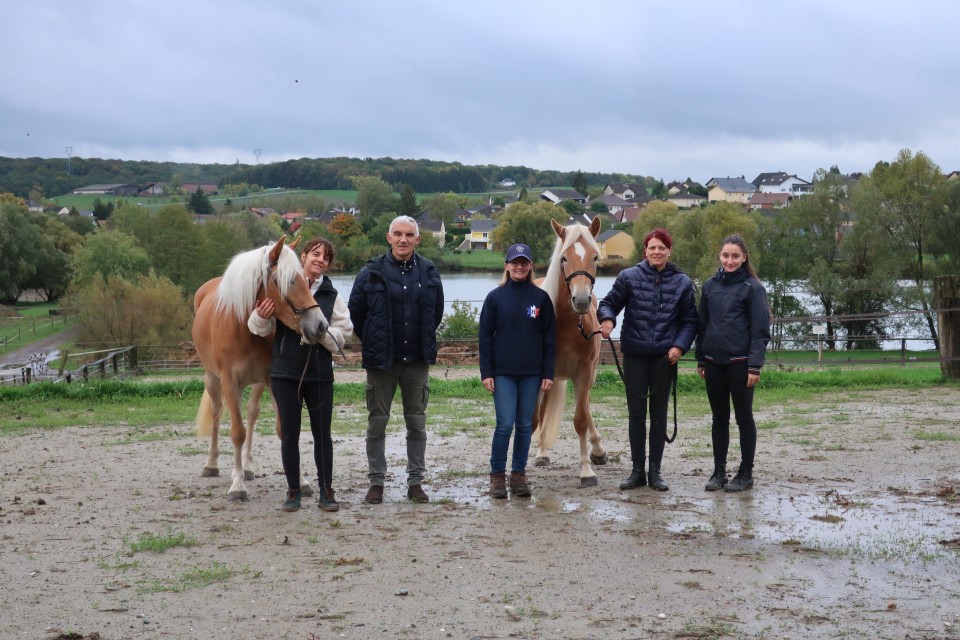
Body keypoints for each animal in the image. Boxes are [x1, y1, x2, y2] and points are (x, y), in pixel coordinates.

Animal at [532, 218, 608, 488]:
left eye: (595, 256)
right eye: (564, 258)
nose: (582, 300)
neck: (564, 323)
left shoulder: (584, 372)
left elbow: (581, 419)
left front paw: (586, 471)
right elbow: (533, 418)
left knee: (585, 406)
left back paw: (598, 451)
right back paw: (541, 453)